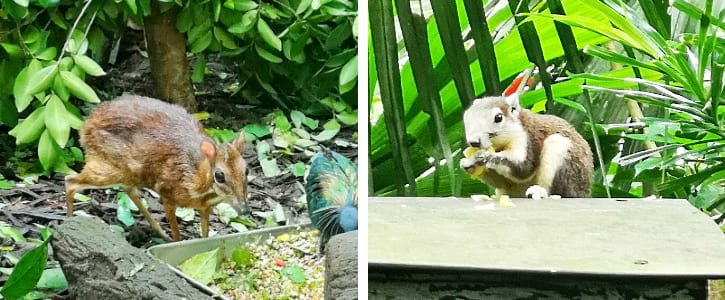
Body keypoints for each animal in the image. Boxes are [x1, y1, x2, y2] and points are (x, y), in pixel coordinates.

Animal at [460, 96, 592, 198]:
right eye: (467, 117)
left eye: (498, 117)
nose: (474, 142)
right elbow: (501, 182)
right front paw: (467, 163)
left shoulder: (528, 139)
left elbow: (524, 168)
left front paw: (486, 157)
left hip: (562, 154)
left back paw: (541, 192)